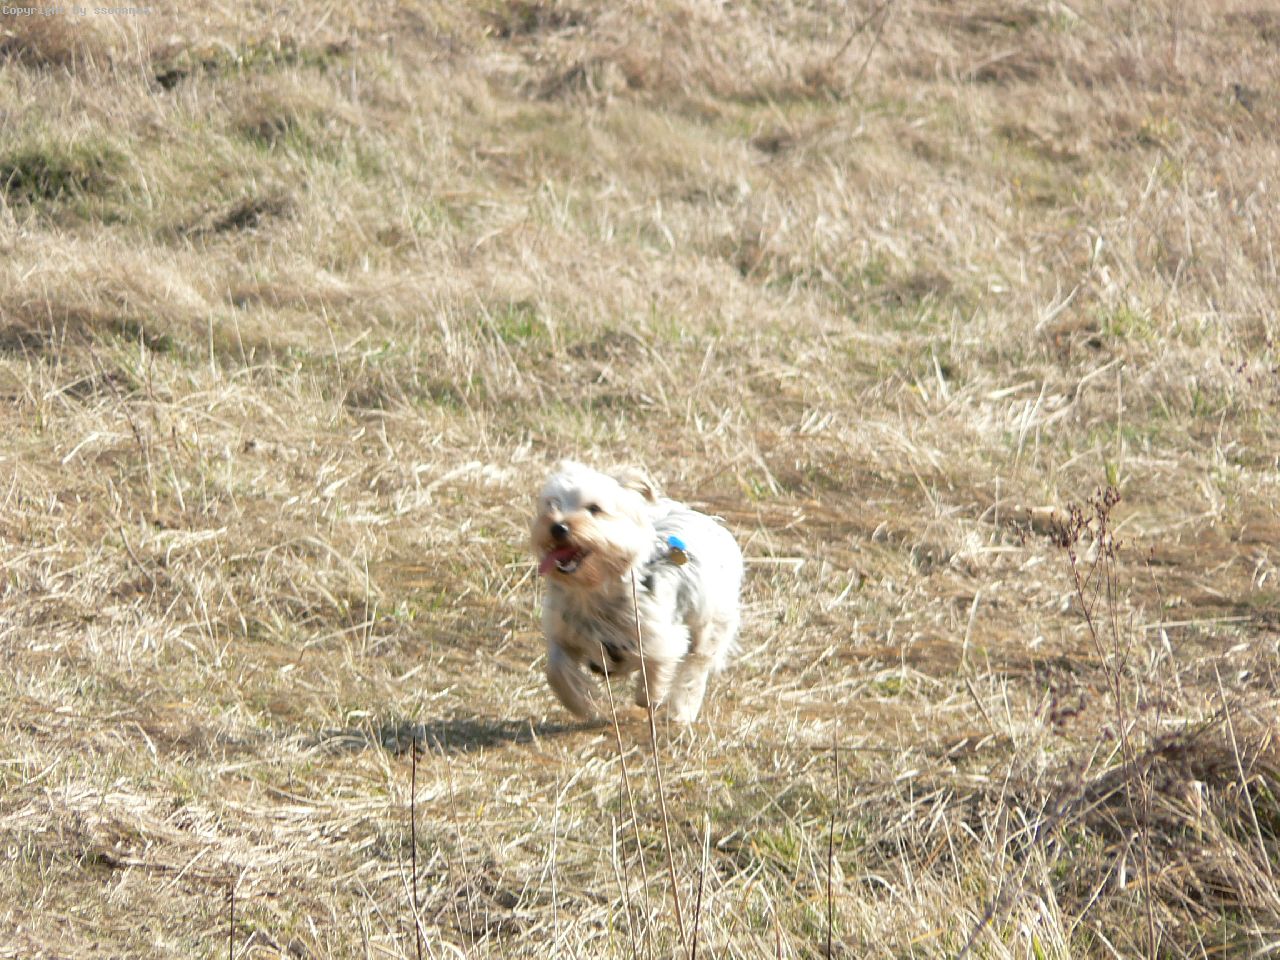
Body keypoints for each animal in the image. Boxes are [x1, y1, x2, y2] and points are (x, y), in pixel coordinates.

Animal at [530, 461, 743, 723]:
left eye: (594, 508)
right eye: (552, 504)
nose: (558, 527)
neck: (593, 590)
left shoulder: (659, 635)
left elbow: (656, 667)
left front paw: (650, 696)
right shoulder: (563, 630)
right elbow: (555, 668)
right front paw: (579, 702)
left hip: (710, 622)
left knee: (696, 665)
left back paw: (682, 711)